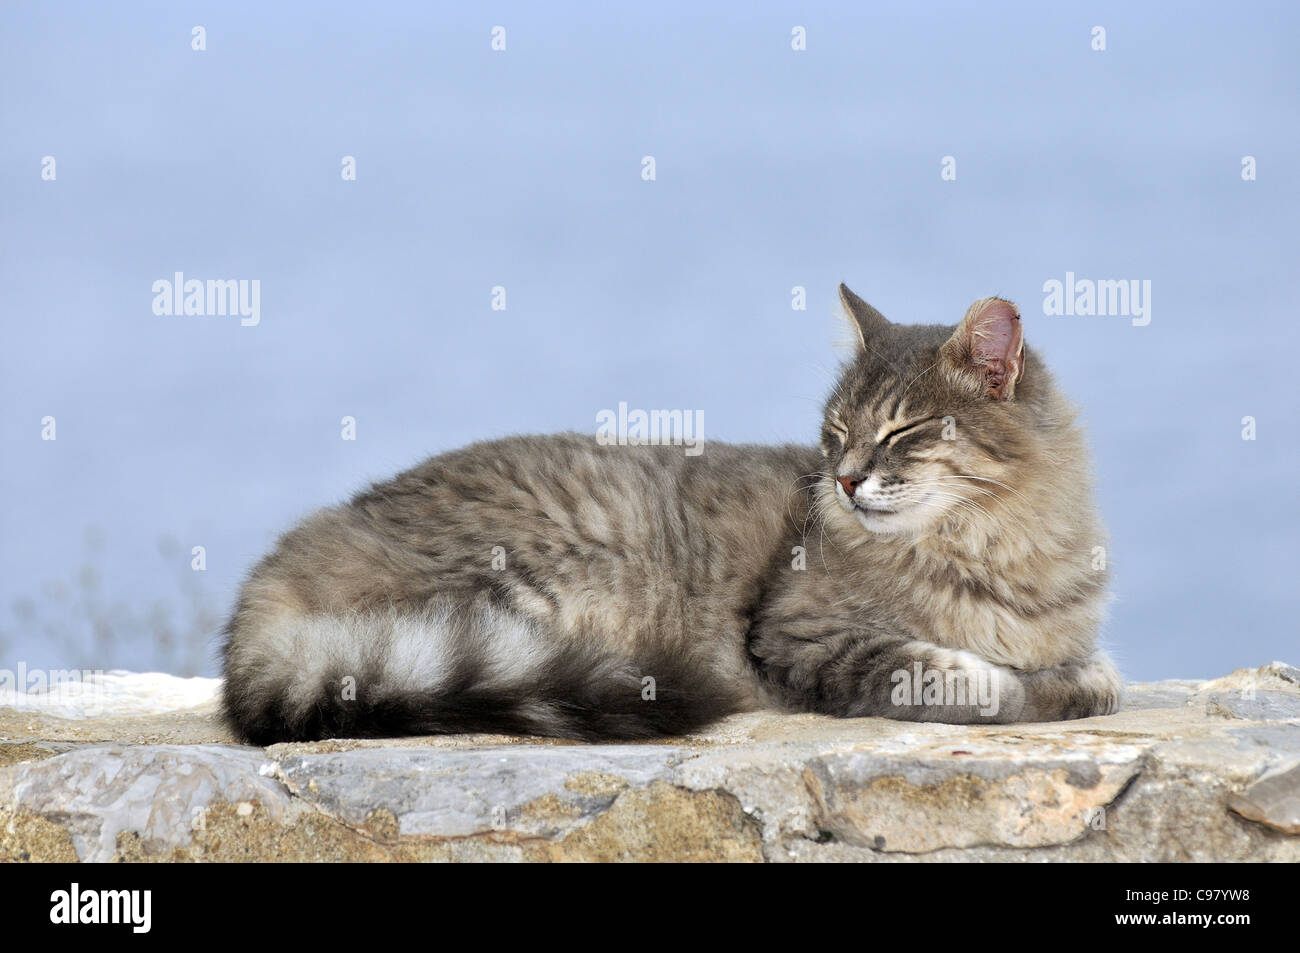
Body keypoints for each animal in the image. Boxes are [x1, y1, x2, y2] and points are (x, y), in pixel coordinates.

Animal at [220, 282, 1118, 743]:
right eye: (835, 433)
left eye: (899, 431)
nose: (845, 480)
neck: (991, 546)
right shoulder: (802, 638)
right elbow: (968, 677)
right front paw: (1032, 688)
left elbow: (1087, 670)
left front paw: (1075, 678)